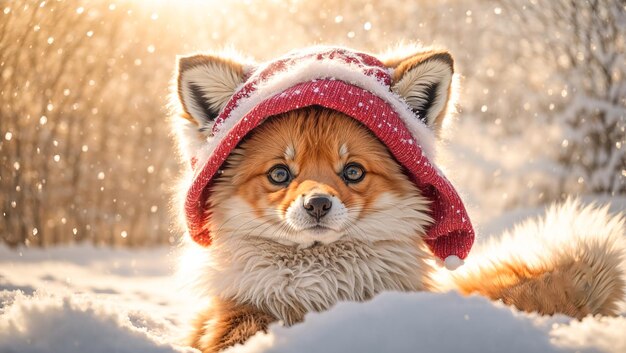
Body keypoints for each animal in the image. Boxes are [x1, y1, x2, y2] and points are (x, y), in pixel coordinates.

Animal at [169, 45, 624, 350]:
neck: (322, 288)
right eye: (280, 174)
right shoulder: (229, 316)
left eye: (353, 171)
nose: (317, 204)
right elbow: (235, 330)